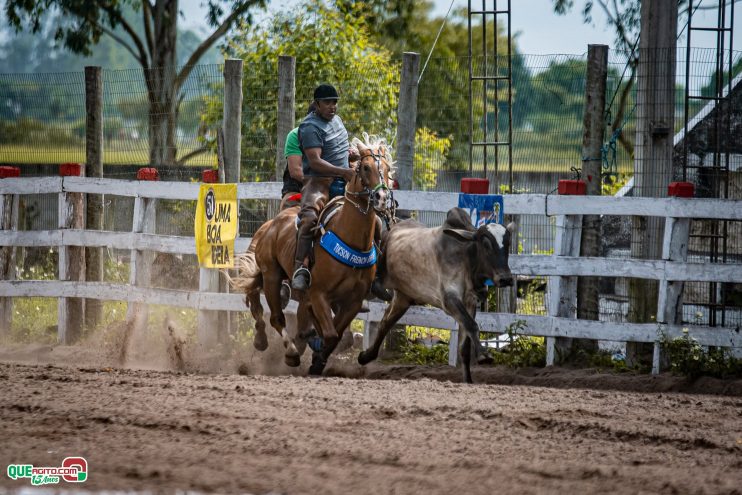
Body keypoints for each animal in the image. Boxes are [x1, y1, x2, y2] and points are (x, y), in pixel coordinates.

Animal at [235, 138, 398, 374]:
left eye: (386, 169)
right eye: (366, 167)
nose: (382, 198)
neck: (348, 237)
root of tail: (270, 227)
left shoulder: (353, 301)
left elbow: (338, 335)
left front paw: (317, 358)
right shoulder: (319, 294)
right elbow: (329, 334)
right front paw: (314, 351)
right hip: (271, 276)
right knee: (274, 317)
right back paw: (287, 351)